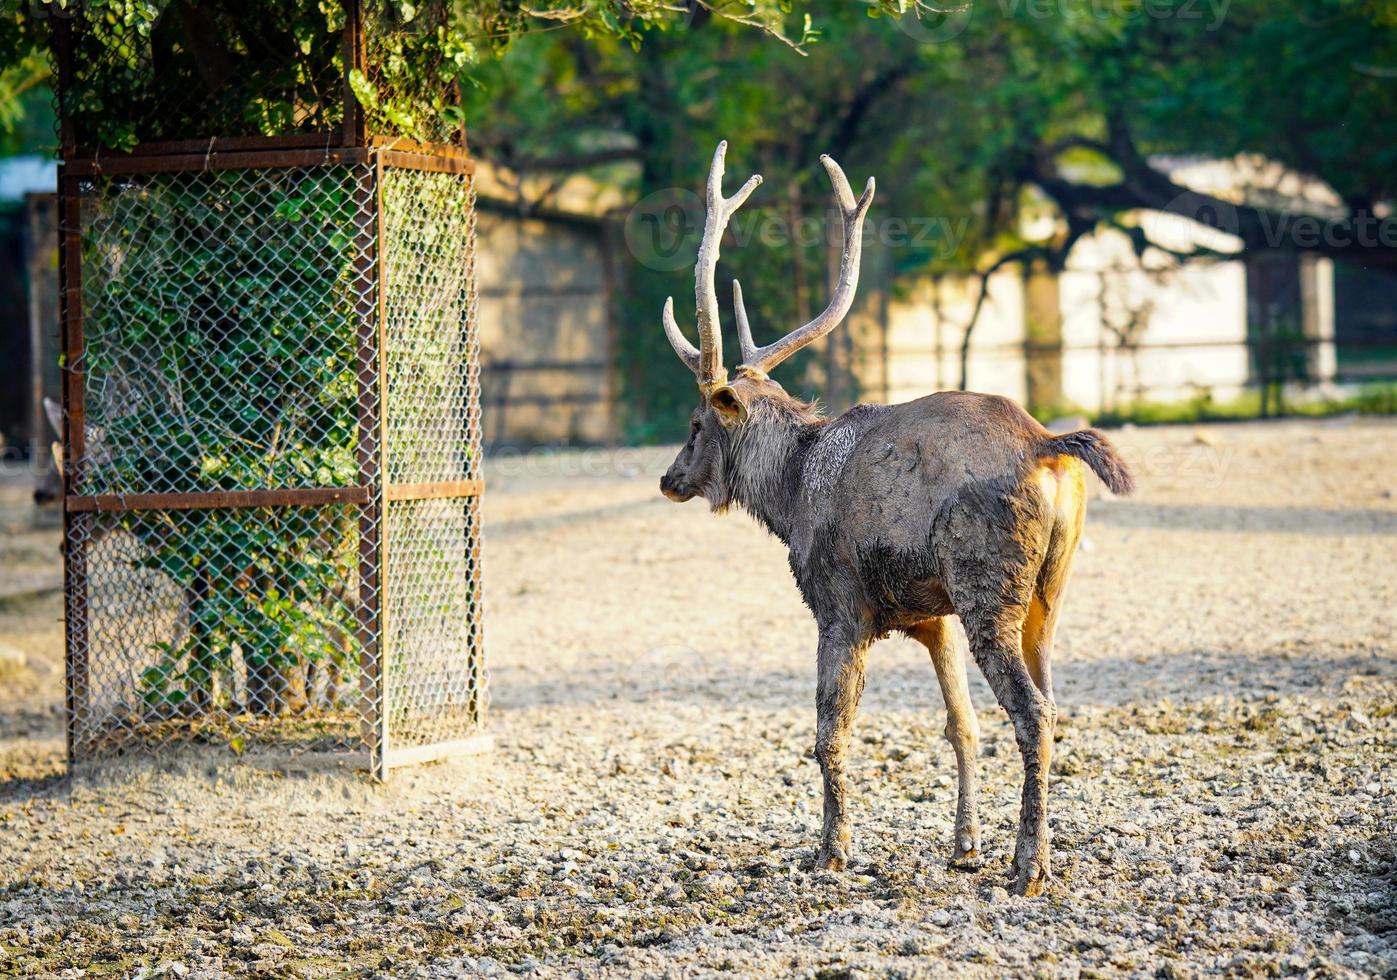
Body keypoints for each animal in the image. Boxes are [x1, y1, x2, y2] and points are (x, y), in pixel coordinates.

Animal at [656, 142, 1134, 904]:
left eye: (697, 421)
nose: (669, 478)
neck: (791, 496)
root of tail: (1047, 446)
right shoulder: (929, 614)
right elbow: (958, 724)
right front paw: (963, 845)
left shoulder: (839, 602)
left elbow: (829, 731)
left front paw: (831, 851)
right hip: (1048, 592)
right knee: (1053, 704)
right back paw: (1036, 852)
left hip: (987, 583)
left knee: (1031, 712)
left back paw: (1027, 866)